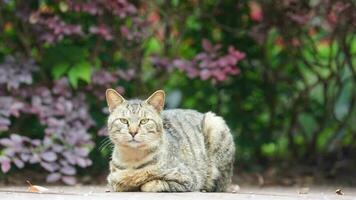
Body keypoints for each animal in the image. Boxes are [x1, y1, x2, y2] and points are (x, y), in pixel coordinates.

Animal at [105, 89, 236, 192]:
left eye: (144, 121)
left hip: (215, 124)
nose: (133, 132)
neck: (133, 160)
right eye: (123, 120)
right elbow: (119, 183)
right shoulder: (113, 178)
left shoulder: (188, 178)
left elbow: (150, 184)